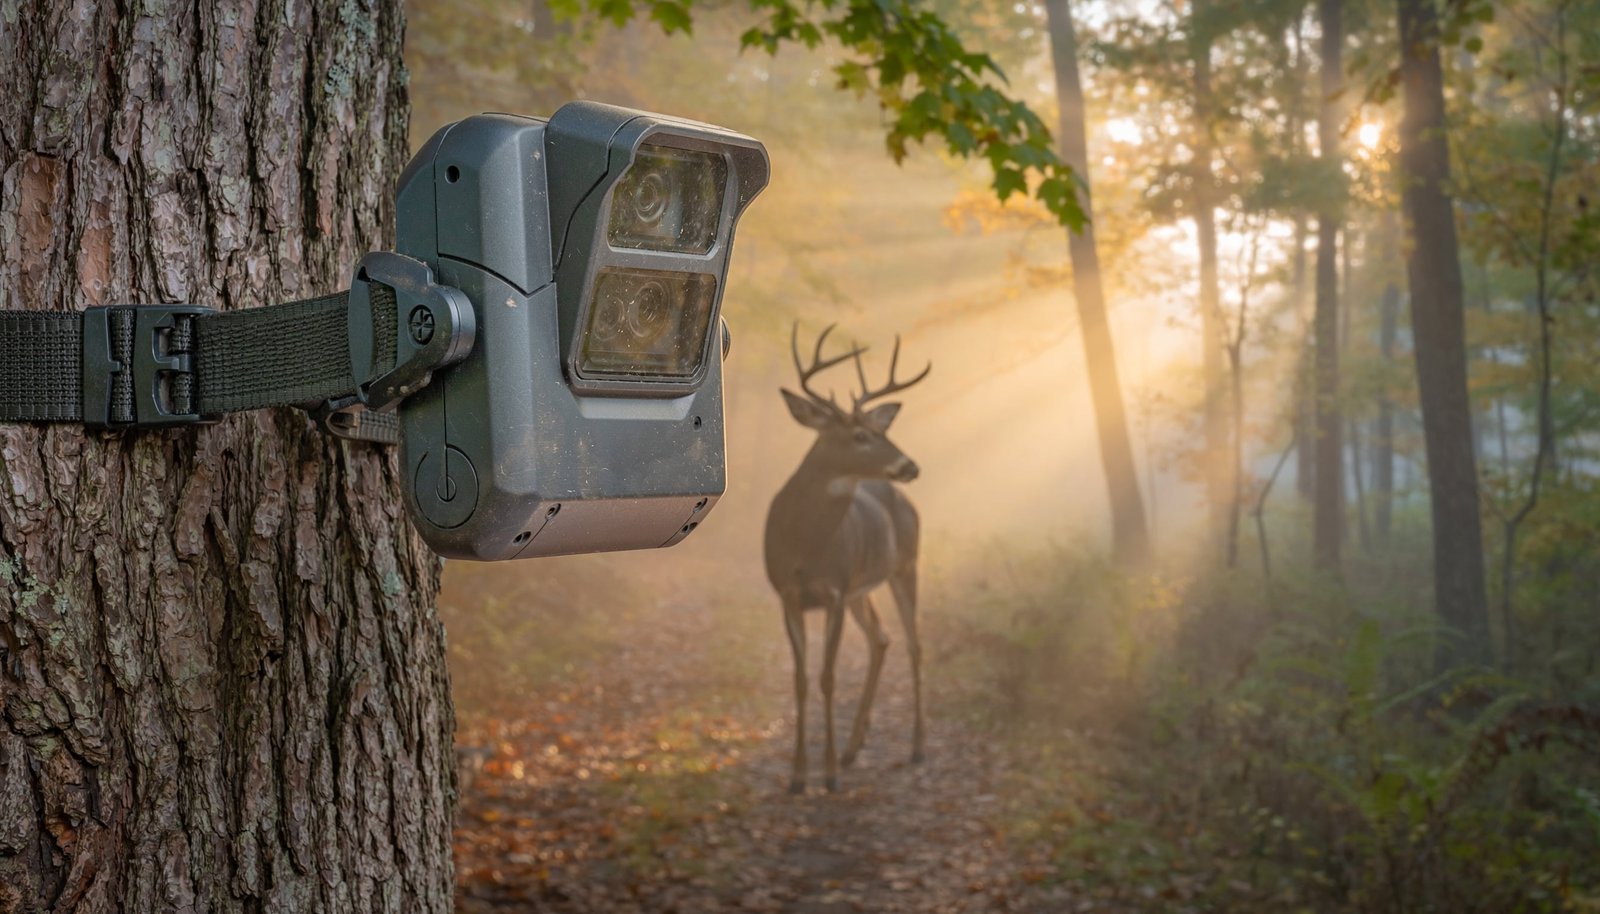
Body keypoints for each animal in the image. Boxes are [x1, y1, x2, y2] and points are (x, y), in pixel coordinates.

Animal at [764, 323, 931, 794]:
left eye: (881, 430)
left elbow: (827, 677)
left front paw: (829, 775)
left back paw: (916, 747)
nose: (910, 465)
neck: (805, 546)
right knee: (881, 639)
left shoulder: (834, 592)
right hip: (864, 588)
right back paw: (855, 748)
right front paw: (798, 776)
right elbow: (801, 680)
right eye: (860, 436)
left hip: (905, 565)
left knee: (914, 644)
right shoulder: (788, 595)